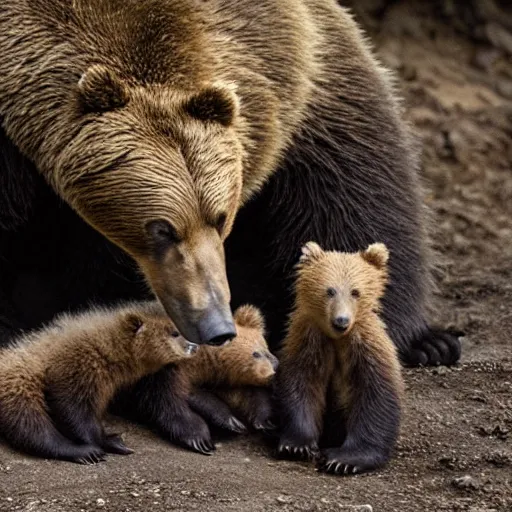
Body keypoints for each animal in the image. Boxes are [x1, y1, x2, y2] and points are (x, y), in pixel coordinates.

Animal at [0, 0, 460, 456]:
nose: (216, 326)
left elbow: (357, 189)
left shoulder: (304, 75)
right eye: (161, 228)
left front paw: (412, 338)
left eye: (221, 216)